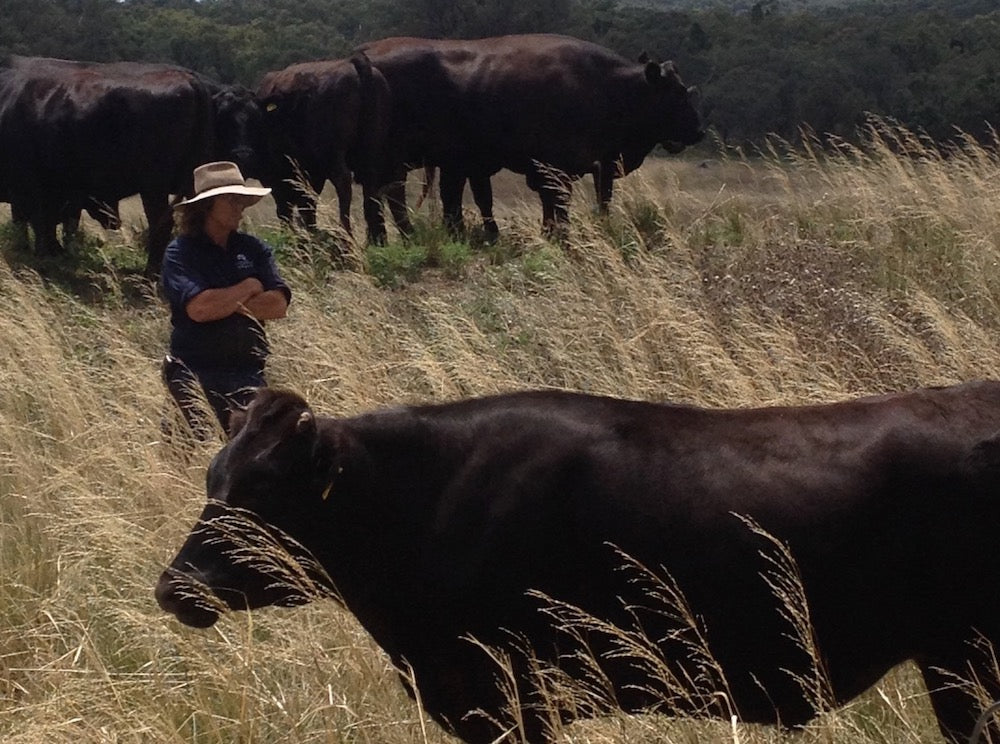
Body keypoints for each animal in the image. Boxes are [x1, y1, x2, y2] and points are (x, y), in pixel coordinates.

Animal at [252, 55, 396, 241]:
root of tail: (354, 65)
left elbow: (288, 206)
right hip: (370, 147)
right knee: (370, 185)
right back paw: (374, 239)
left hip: (333, 155)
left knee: (343, 183)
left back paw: (345, 233)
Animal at [360, 35, 704, 240]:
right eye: (676, 93)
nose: (697, 131)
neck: (605, 85)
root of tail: (366, 55)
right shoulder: (560, 169)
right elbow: (561, 206)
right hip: (396, 161)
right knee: (390, 197)